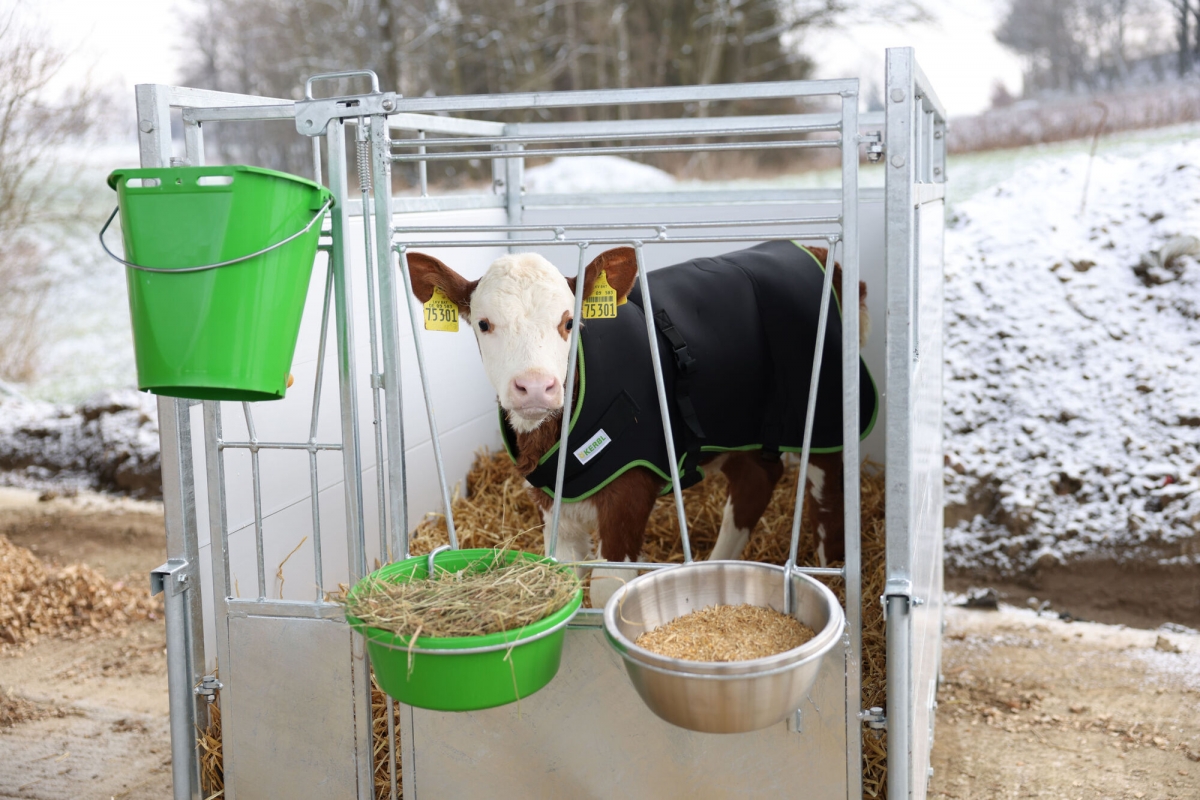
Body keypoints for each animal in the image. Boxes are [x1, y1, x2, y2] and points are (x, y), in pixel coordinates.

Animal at [406, 242, 876, 605]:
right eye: (484, 324)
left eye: (569, 321)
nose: (536, 387)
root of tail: (815, 253)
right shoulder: (551, 500)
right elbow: (565, 577)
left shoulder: (630, 488)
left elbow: (606, 589)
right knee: (758, 476)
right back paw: (715, 567)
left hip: (825, 417)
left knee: (827, 498)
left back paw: (830, 573)